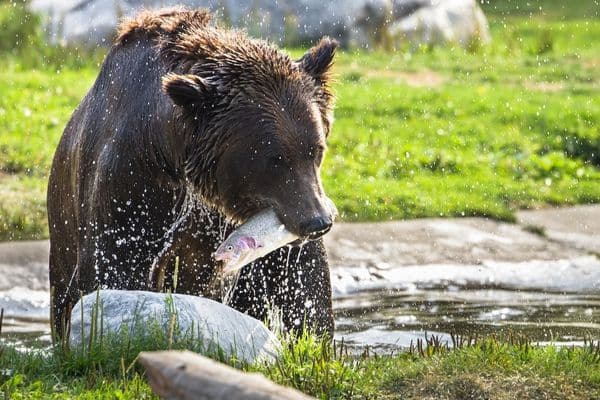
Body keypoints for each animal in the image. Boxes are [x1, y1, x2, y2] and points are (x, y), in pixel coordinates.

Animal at [47, 7, 338, 340]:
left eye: (316, 149)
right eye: (274, 160)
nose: (318, 222)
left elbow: (304, 283)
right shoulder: (130, 183)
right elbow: (114, 262)